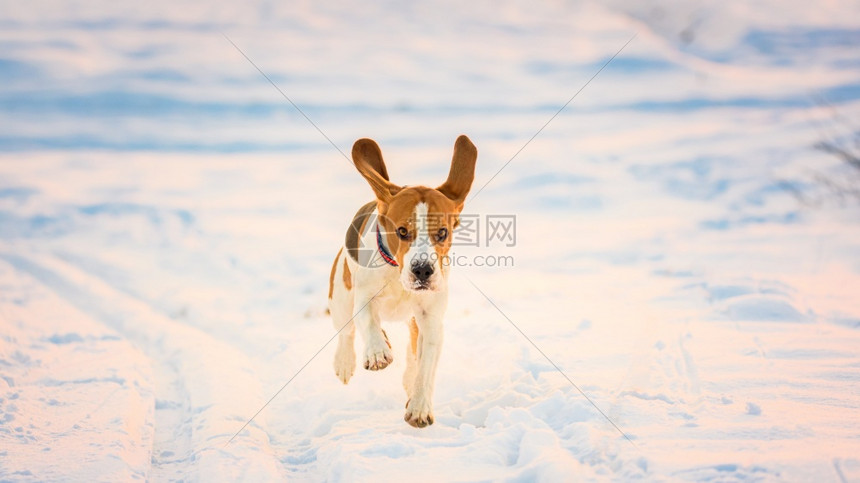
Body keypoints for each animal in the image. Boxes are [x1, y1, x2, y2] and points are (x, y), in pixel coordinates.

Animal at [328, 135, 478, 428]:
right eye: (402, 231)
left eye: (442, 233)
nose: (423, 270)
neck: (398, 275)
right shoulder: (363, 298)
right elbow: (368, 322)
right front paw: (377, 352)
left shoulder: (430, 320)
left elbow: (425, 365)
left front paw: (419, 406)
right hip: (340, 296)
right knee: (346, 330)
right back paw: (346, 361)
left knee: (411, 354)